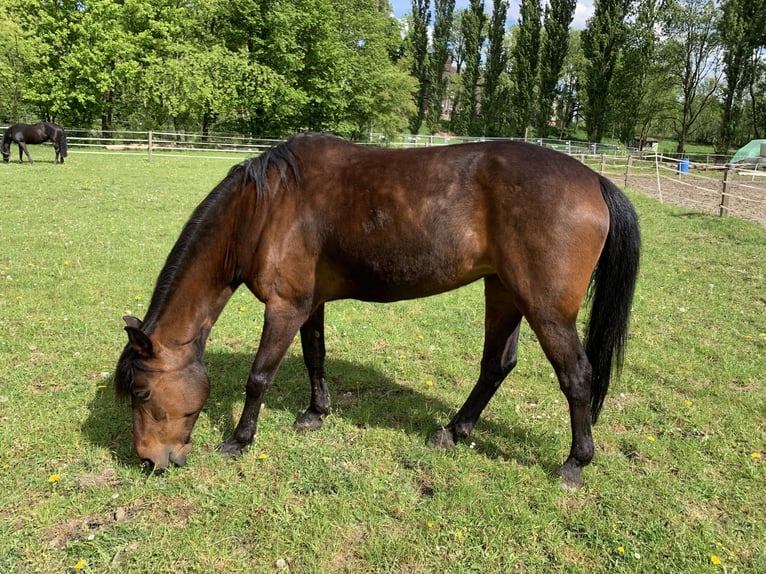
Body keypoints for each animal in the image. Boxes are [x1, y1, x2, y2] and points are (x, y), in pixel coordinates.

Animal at [115, 133, 640, 488]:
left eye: (141, 392)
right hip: (504, 291)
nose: (148, 460)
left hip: (545, 309)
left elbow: (259, 377)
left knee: (576, 377)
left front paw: (239, 441)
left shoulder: (284, 307)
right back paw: (453, 431)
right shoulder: (309, 304)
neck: (265, 209)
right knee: (497, 365)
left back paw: (574, 463)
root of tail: (593, 179)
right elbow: (315, 357)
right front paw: (315, 413)